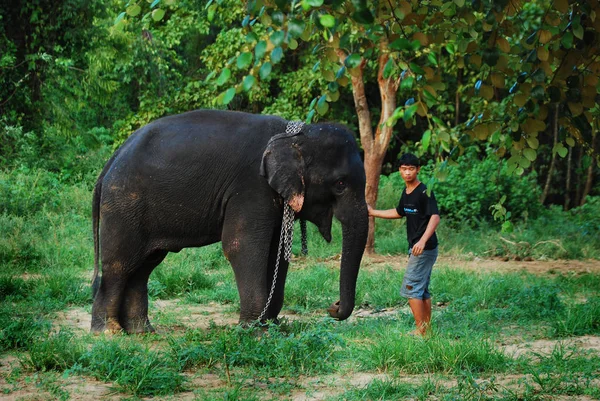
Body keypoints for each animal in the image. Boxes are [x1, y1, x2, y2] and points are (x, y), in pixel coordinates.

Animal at [91, 108, 368, 332]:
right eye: (340, 184)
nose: (333, 307)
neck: (297, 135)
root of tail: (110, 161)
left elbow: (276, 254)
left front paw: (271, 326)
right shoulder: (251, 186)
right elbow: (242, 247)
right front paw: (256, 333)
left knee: (144, 266)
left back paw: (142, 332)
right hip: (123, 204)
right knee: (120, 264)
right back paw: (109, 333)